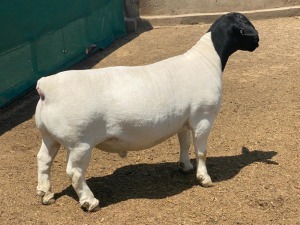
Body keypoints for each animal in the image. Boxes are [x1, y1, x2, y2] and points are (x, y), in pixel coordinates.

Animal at [35, 12, 258, 211]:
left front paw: (185, 166)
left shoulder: (184, 121)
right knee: (74, 172)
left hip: (49, 136)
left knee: (44, 160)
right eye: (246, 24)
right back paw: (89, 202)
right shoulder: (203, 117)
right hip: (80, 142)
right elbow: (201, 151)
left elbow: (184, 143)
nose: (257, 40)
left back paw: (45, 194)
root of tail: (47, 86)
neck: (206, 59)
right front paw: (204, 178)